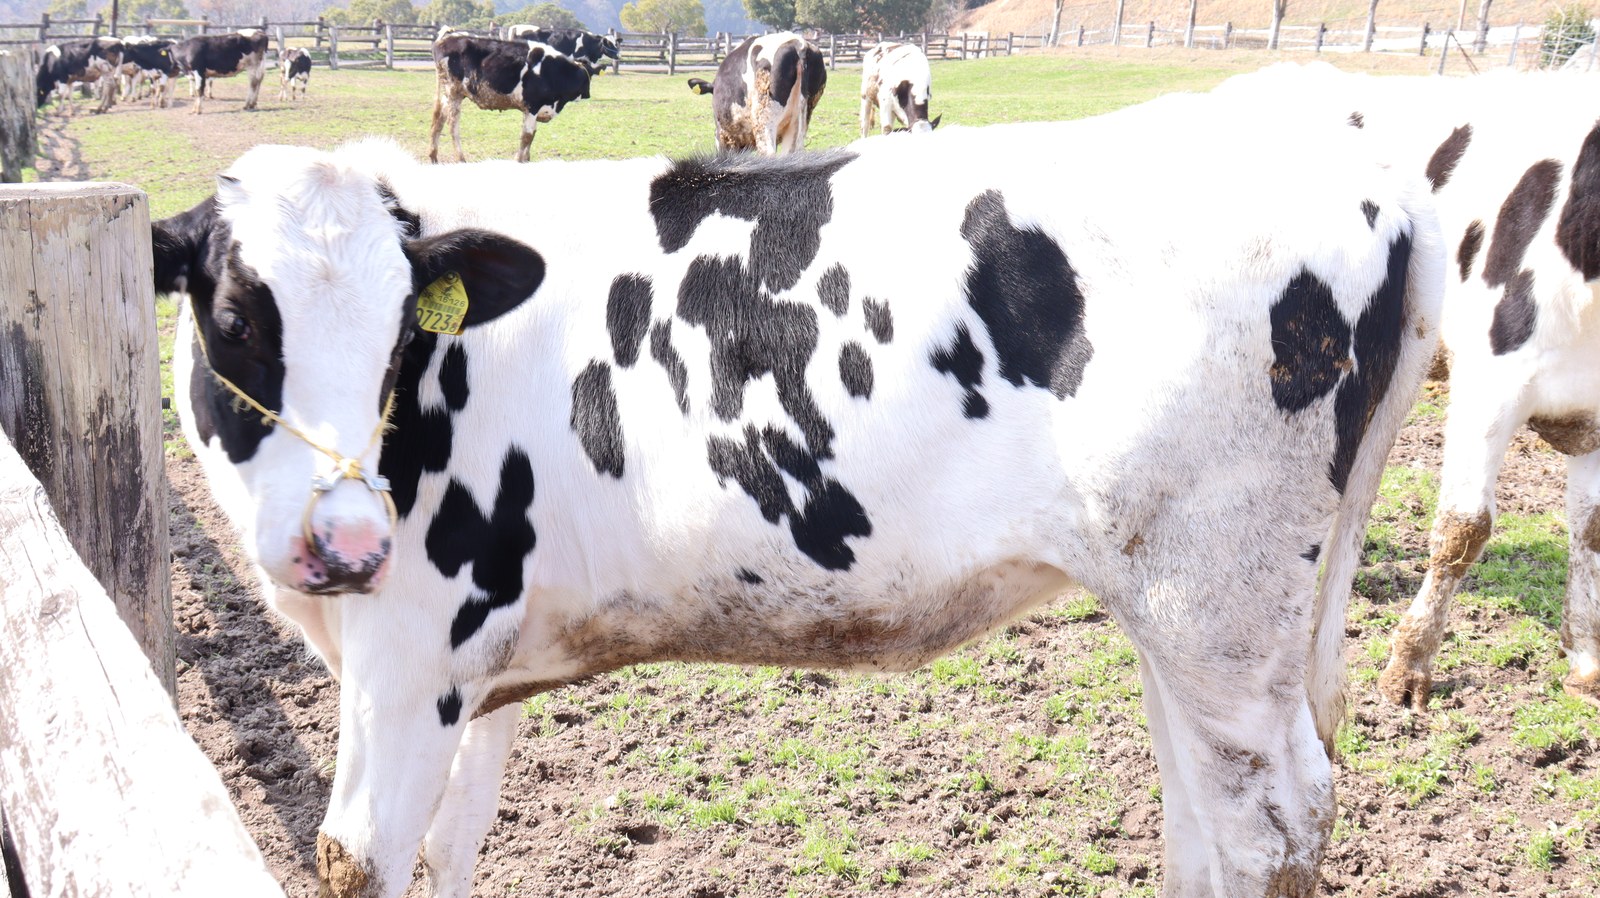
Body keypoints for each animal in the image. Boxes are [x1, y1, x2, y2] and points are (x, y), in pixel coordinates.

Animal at [147, 94, 1442, 897]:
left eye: (398, 333)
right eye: (234, 315)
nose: (344, 540)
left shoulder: (407, 655)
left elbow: (358, 857)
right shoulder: (476, 665)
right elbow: (449, 853)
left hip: (1216, 604)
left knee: (1270, 824)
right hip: (1183, 616)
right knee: (1200, 825)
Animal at [429, 32, 592, 164]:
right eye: (586, 79)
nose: (588, 94)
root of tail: (443, 40)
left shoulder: (532, 109)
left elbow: (532, 134)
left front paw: (526, 159)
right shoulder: (532, 106)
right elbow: (527, 136)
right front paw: (519, 160)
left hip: (450, 94)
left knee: (439, 119)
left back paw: (433, 156)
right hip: (454, 93)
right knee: (452, 125)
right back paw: (460, 158)